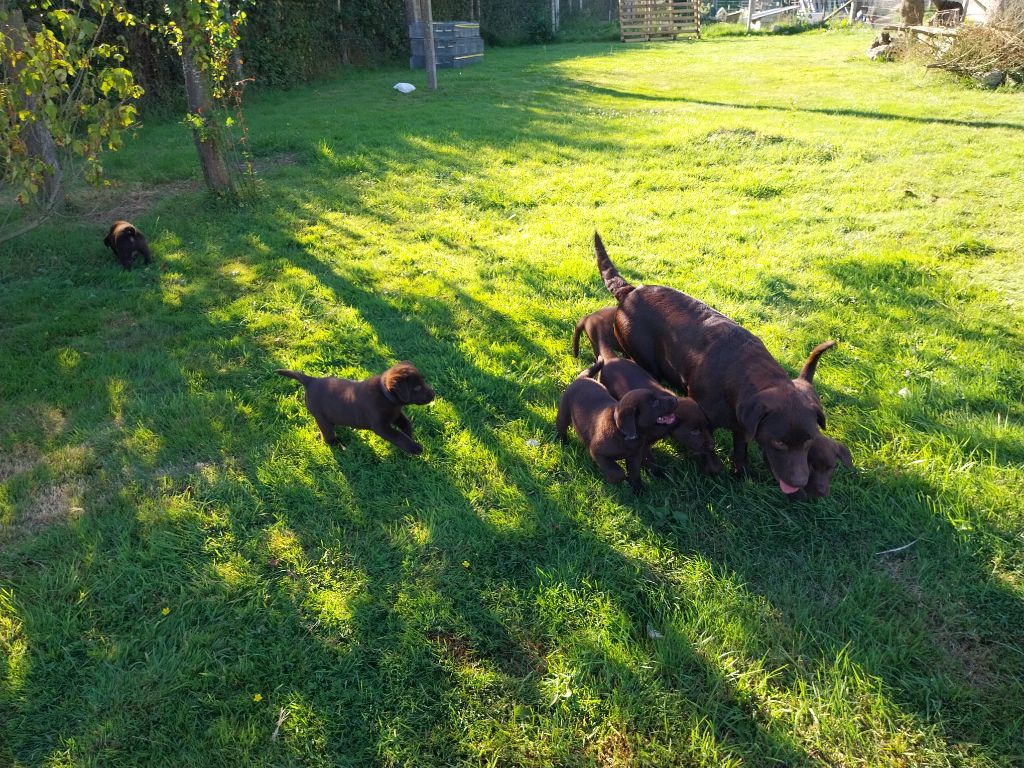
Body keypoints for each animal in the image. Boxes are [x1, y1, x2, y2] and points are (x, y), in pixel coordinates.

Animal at [276, 362, 432, 454]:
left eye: (423, 382)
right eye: (417, 388)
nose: (433, 394)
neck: (385, 395)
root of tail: (311, 381)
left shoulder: (396, 414)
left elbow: (406, 424)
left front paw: (410, 436)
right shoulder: (381, 427)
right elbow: (399, 436)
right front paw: (415, 448)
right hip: (321, 418)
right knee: (327, 435)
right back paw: (337, 444)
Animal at [561, 360, 679, 493]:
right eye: (655, 403)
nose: (675, 399)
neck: (623, 433)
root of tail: (583, 378)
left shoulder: (634, 457)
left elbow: (634, 474)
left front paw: (638, 490)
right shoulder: (598, 453)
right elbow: (618, 472)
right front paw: (613, 480)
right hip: (564, 411)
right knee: (561, 427)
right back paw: (562, 442)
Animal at [598, 234, 835, 495]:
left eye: (809, 440)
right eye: (779, 442)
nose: (800, 484)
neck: (742, 371)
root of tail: (630, 291)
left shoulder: (744, 422)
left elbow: (740, 449)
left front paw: (741, 472)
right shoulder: (699, 420)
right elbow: (706, 445)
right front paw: (713, 468)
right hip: (644, 359)